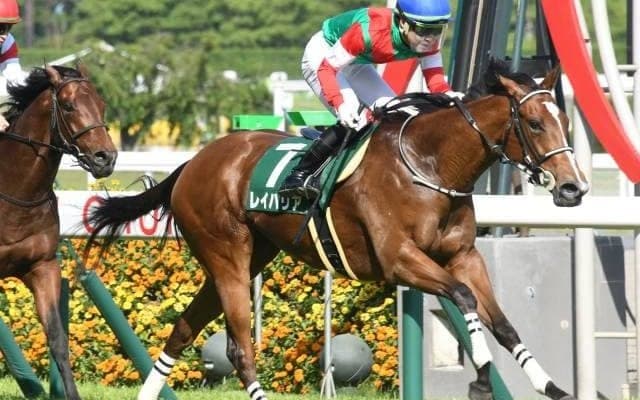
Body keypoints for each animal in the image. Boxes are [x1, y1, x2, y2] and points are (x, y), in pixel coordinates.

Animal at [85, 59, 588, 400]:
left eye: (565, 121)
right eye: (535, 123)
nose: (574, 188)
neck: (430, 165)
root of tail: (194, 162)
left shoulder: (464, 256)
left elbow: (502, 323)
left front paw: (549, 385)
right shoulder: (399, 260)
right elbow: (462, 299)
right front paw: (481, 378)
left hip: (246, 258)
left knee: (183, 330)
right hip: (226, 255)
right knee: (239, 348)